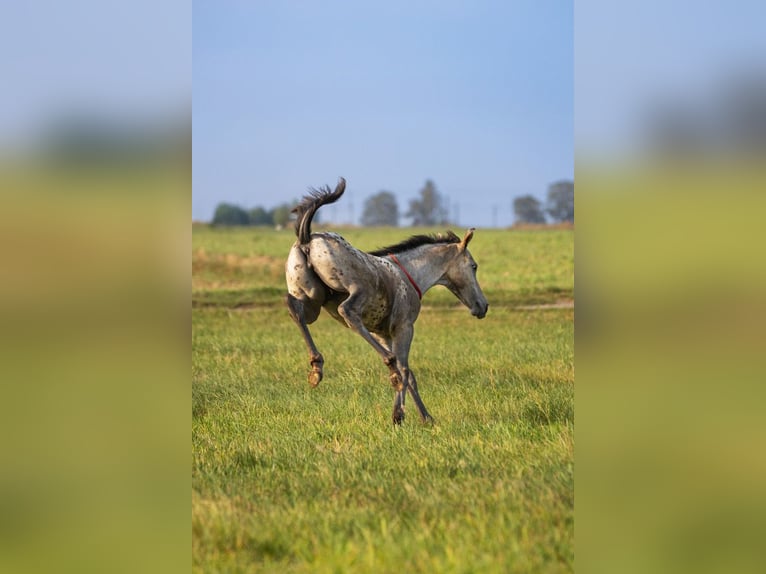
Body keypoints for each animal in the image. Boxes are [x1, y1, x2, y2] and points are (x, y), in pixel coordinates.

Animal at [285, 177, 489, 425]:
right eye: (474, 266)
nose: (482, 306)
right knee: (347, 311)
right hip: (356, 290)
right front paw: (402, 414)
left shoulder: (384, 334)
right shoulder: (404, 327)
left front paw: (423, 416)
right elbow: (406, 369)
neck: (409, 274)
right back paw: (388, 367)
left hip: (312, 299)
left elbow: (410, 374)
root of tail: (306, 238)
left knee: (295, 309)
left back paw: (316, 368)